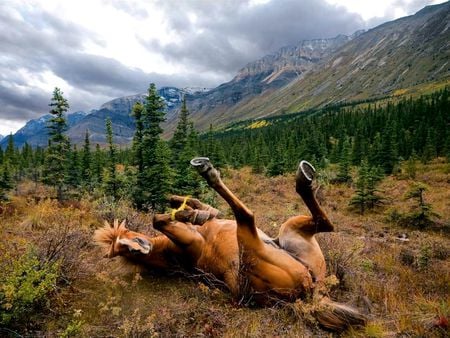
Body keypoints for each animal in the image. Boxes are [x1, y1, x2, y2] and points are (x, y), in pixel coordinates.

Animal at [94, 160, 366, 332]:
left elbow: (194, 206)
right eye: (125, 249)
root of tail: (309, 295)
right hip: (253, 243)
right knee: (247, 215)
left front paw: (188, 208)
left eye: (126, 238)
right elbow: (159, 219)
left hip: (290, 232)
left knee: (324, 222)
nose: (137, 246)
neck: (174, 255)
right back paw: (209, 172)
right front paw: (187, 214)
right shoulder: (192, 242)